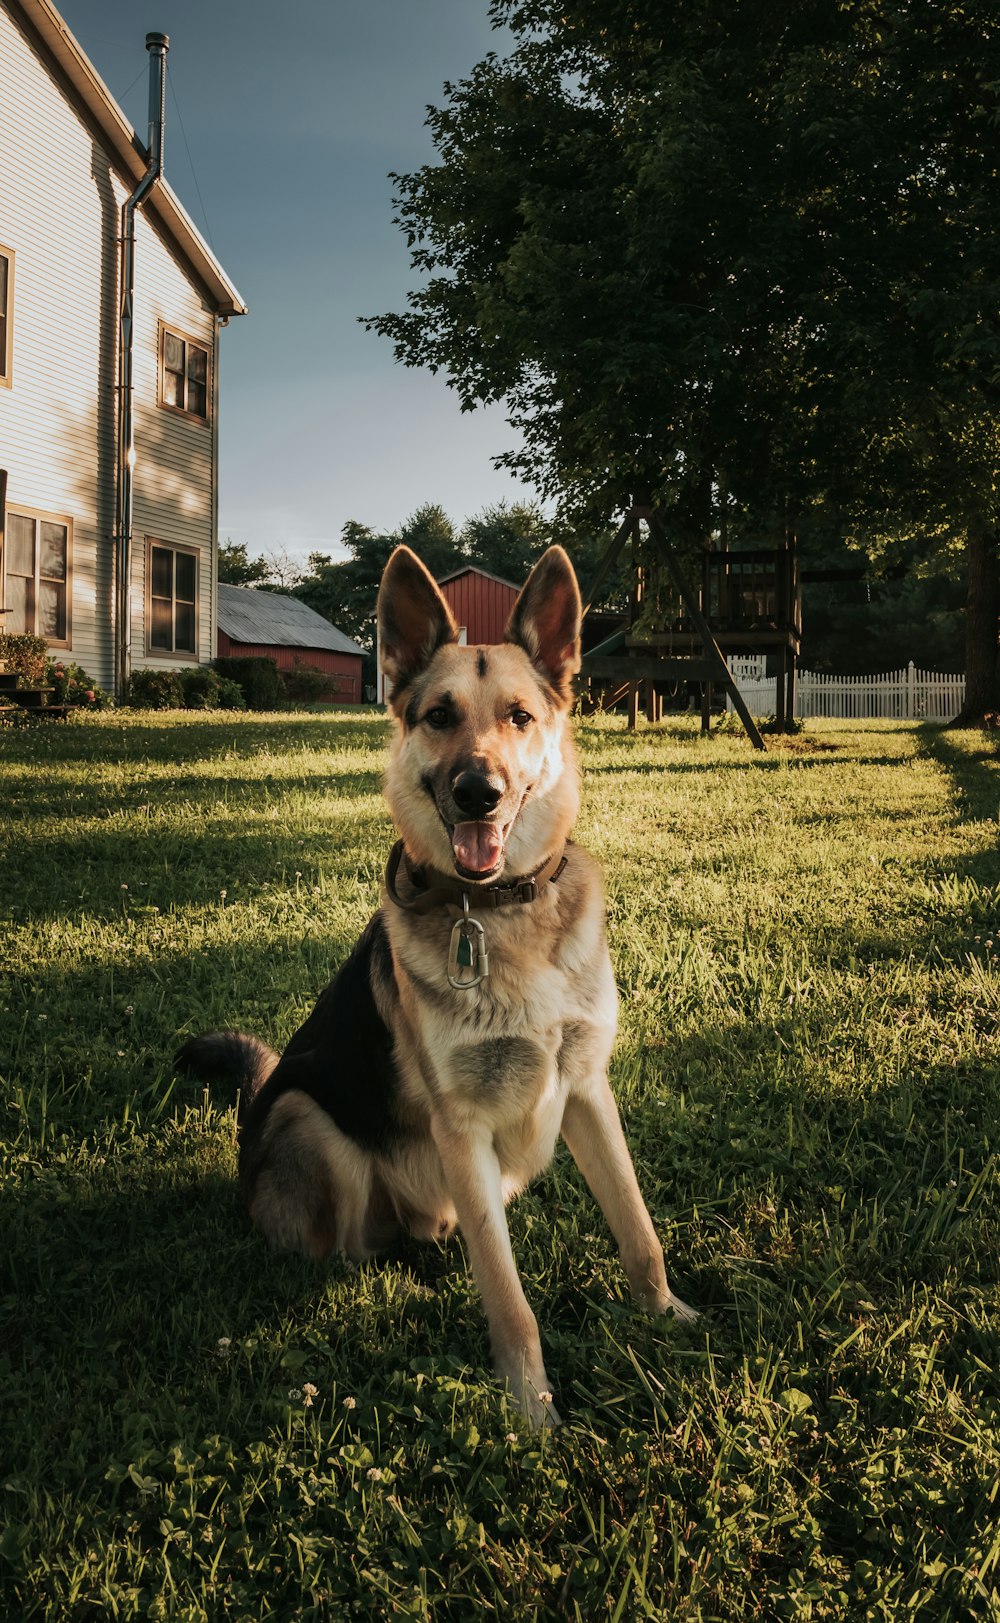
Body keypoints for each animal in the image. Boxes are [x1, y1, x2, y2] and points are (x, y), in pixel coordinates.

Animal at [177, 542, 694, 1421]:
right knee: (352, 1249)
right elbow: (510, 1300)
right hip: (312, 1120)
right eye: (440, 716)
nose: (477, 793)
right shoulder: (462, 1129)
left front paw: (667, 1313)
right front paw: (532, 1411)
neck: (499, 914)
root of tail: (252, 1117)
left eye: (519, 716)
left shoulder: (588, 1091)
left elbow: (638, 1226)